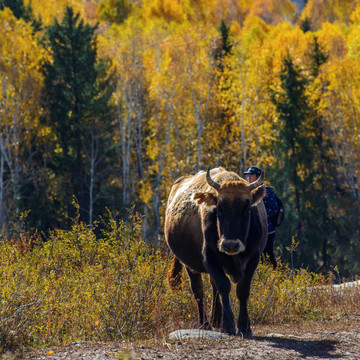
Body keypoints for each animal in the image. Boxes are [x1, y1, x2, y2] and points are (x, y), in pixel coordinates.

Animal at [164, 167, 268, 336]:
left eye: (246, 211)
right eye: (219, 211)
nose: (230, 245)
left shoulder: (254, 257)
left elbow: (243, 290)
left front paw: (245, 327)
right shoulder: (210, 257)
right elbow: (224, 286)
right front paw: (228, 325)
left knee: (213, 287)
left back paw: (216, 318)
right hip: (190, 265)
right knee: (198, 291)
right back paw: (206, 323)